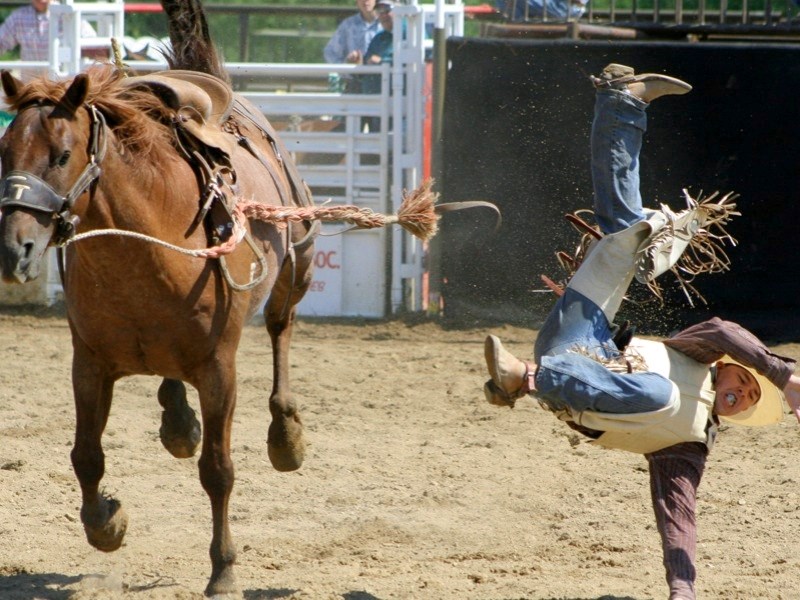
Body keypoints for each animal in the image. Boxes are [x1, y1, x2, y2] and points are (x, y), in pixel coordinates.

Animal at [0, 1, 318, 596]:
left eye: (62, 154)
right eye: (4, 152)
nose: (15, 250)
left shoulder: (219, 369)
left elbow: (218, 470)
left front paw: (224, 570)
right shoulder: (89, 363)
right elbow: (85, 455)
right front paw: (107, 523)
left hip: (297, 266)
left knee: (281, 327)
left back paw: (285, 434)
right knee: (172, 383)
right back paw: (177, 422)